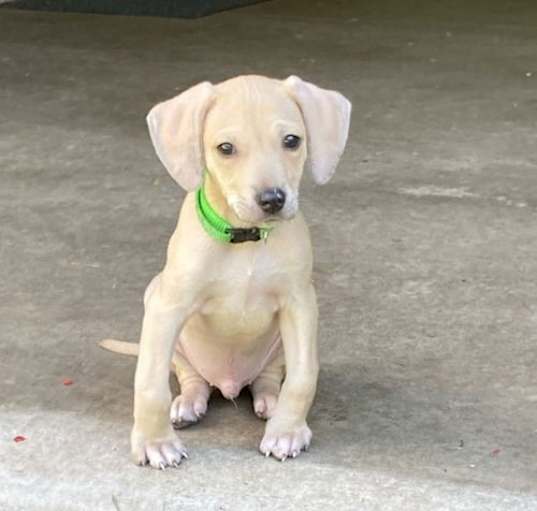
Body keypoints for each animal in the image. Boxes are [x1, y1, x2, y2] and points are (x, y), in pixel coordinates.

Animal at [101, 74, 352, 470]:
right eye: (226, 148)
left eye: (292, 141)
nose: (273, 200)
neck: (244, 240)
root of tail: (229, 382)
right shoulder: (166, 308)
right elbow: (150, 383)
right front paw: (155, 442)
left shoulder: (300, 305)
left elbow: (302, 377)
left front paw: (287, 431)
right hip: (159, 303)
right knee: (191, 378)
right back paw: (188, 403)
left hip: (279, 345)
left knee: (270, 377)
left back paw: (270, 401)